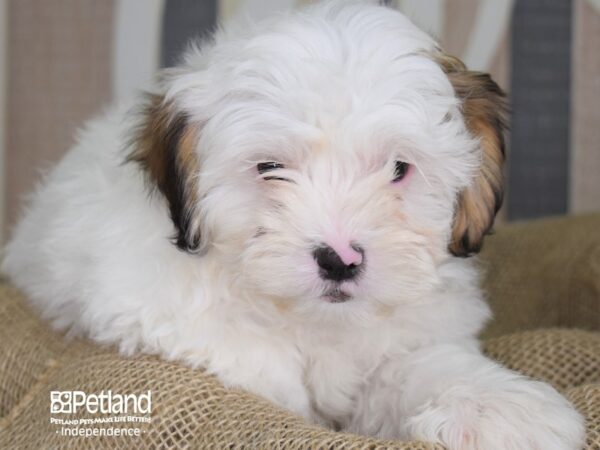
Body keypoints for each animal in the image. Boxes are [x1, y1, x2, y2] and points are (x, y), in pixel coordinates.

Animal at [1, 1, 584, 448]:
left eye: (398, 168)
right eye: (269, 168)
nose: (340, 260)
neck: (310, 320)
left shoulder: (408, 334)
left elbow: (421, 364)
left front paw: (498, 409)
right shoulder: (151, 311)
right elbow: (249, 363)